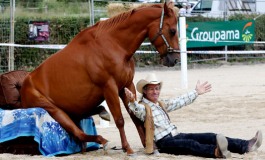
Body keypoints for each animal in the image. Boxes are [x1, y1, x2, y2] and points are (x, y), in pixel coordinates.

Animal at [19, 1, 178, 155]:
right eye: (172, 31)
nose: (175, 59)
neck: (113, 44)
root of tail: (24, 84)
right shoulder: (109, 88)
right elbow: (120, 120)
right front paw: (127, 148)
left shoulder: (126, 86)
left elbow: (135, 116)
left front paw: (147, 145)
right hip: (55, 111)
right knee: (79, 133)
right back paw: (104, 140)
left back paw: (101, 114)